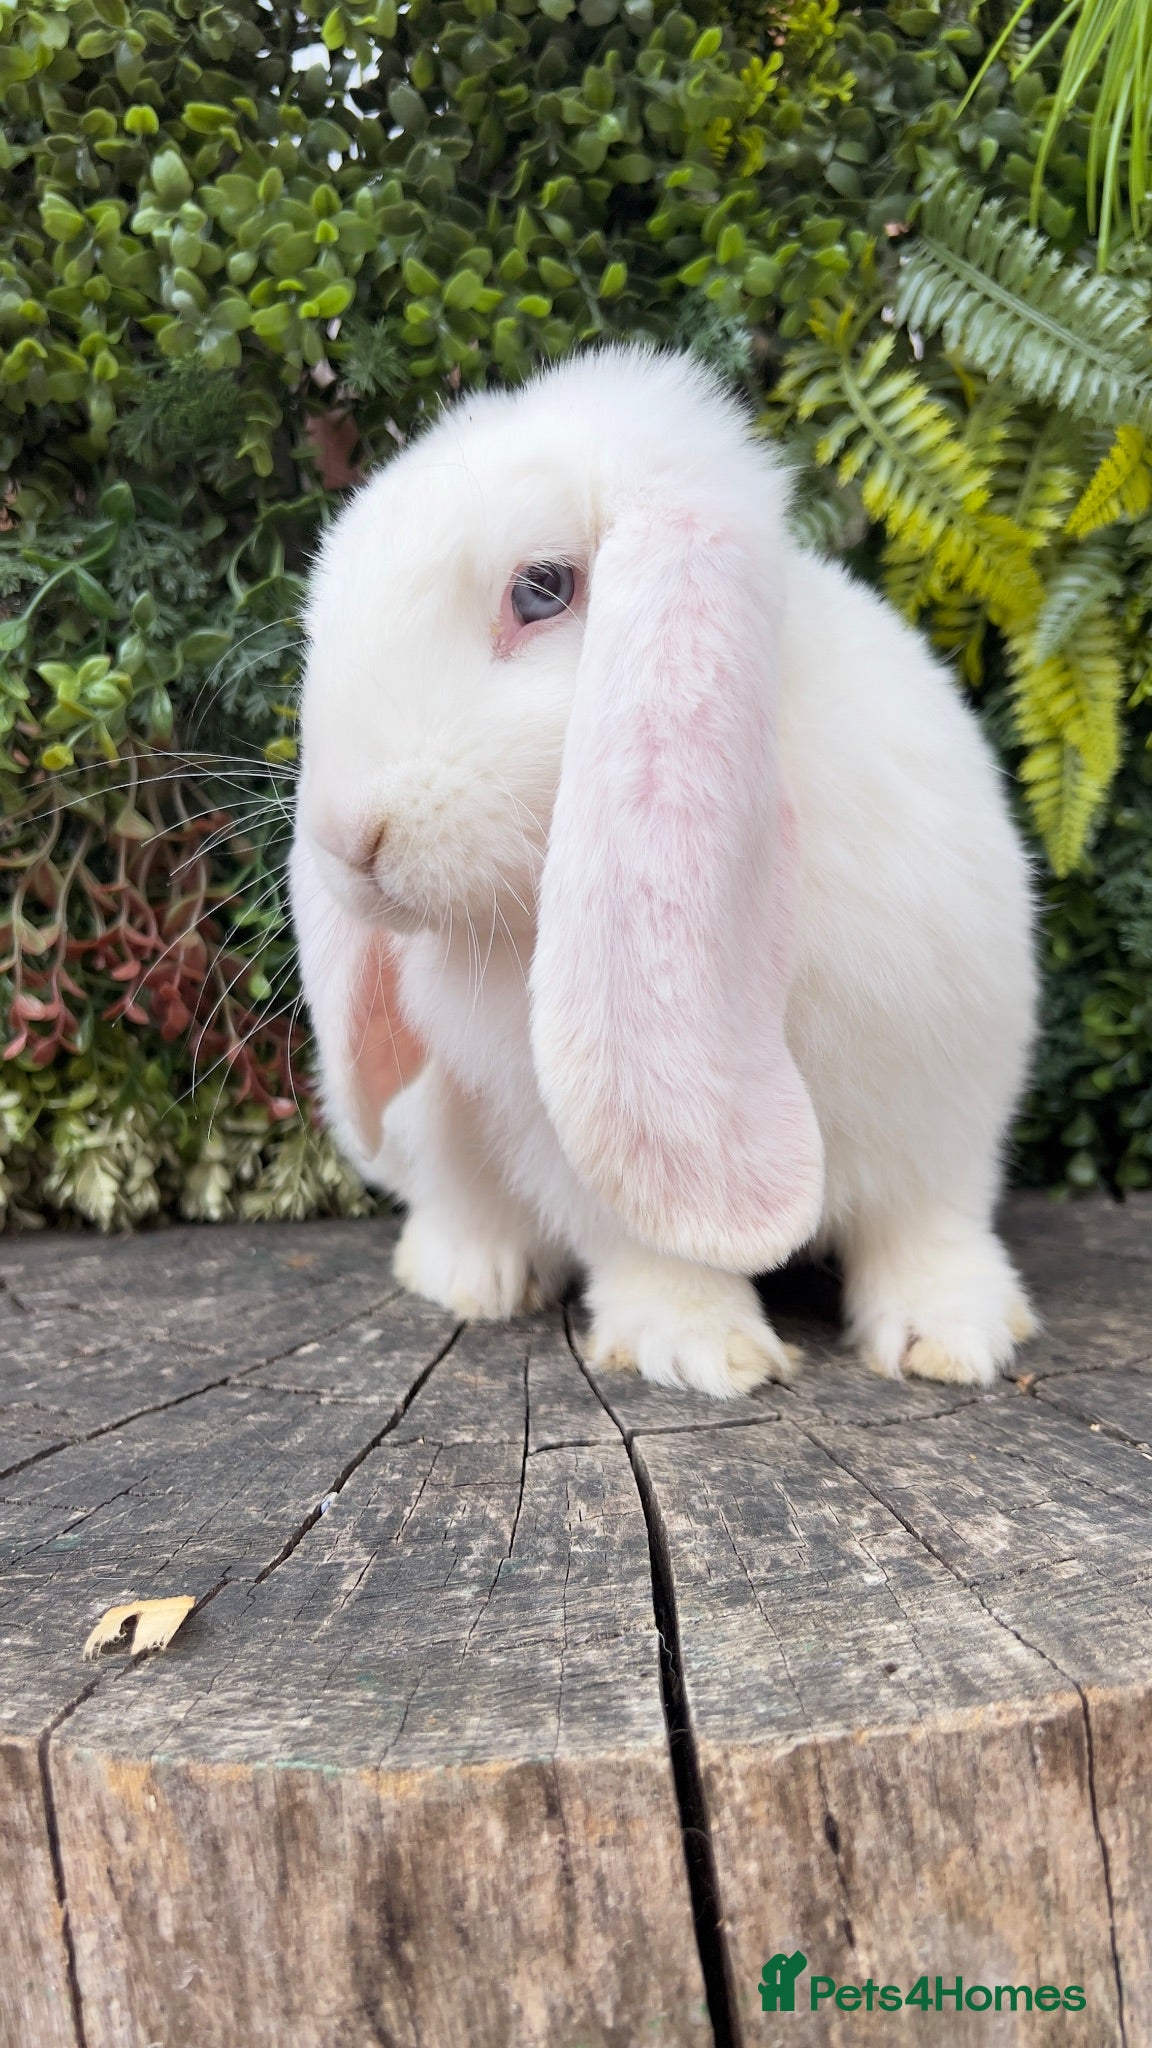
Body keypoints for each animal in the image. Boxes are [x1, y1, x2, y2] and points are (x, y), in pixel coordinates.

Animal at [290, 344, 1038, 1401]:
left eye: (542, 589)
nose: (348, 836)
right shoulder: (570, 1134)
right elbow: (653, 1245)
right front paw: (705, 1350)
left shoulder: (944, 1102)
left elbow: (926, 1228)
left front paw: (954, 1336)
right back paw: (475, 1275)